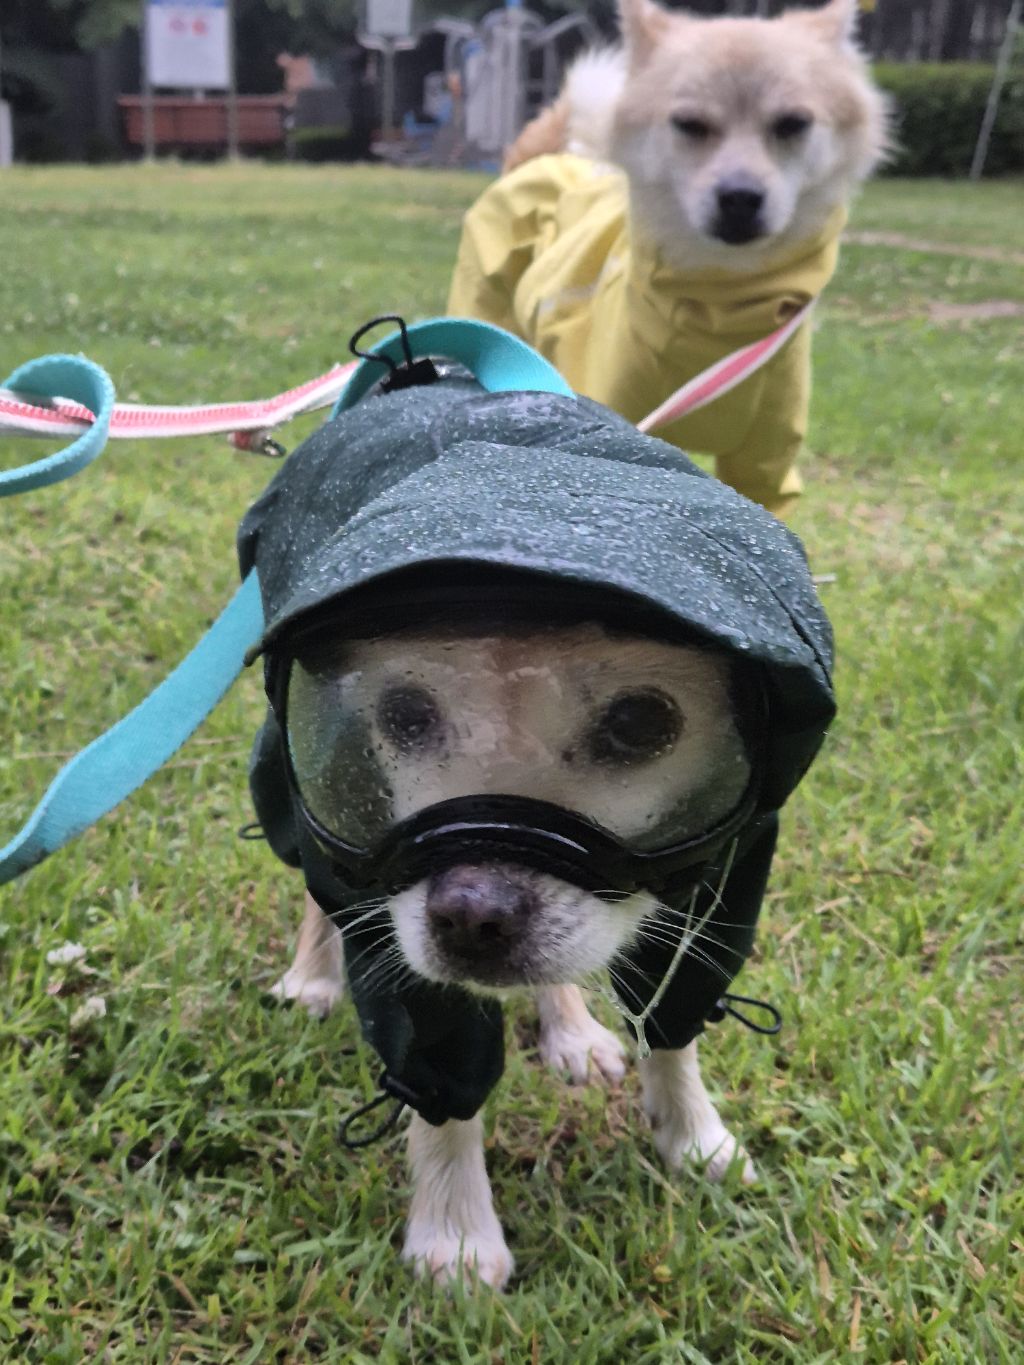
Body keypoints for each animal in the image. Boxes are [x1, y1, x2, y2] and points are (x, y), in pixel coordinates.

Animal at [448, 0, 889, 514]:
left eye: (792, 123)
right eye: (690, 125)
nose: (740, 196)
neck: (719, 311)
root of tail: (538, 161)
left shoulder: (765, 465)